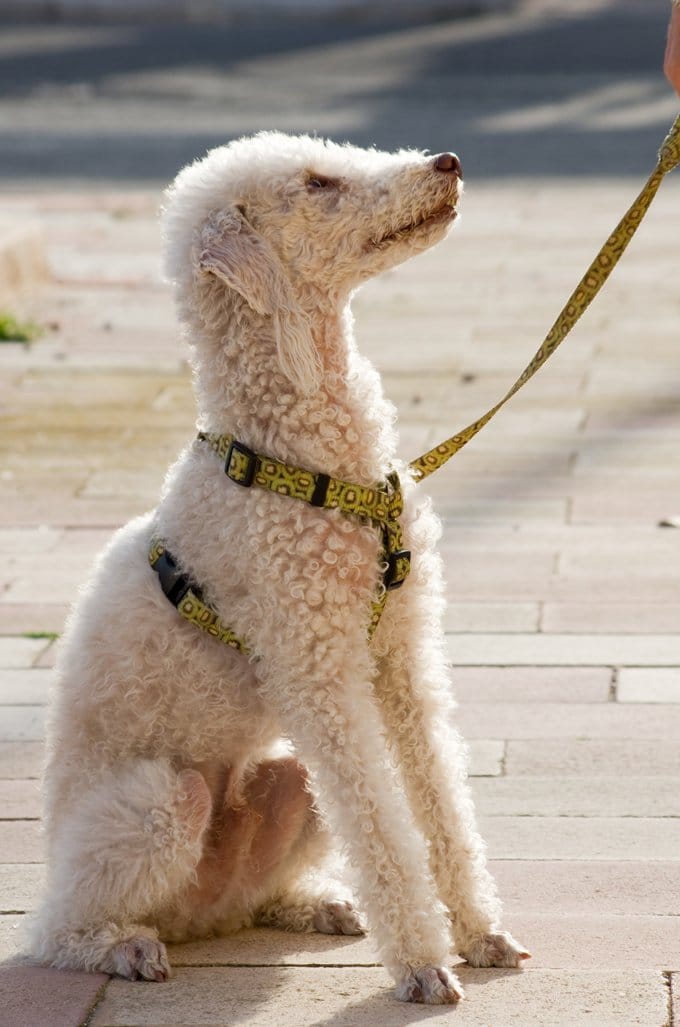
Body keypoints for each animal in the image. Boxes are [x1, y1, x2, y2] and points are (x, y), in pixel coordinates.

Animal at [30, 128, 534, 1002]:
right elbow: (379, 822)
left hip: (289, 779)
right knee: (60, 929)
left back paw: (315, 904)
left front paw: (480, 932)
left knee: (254, 891)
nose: (447, 163)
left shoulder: (401, 655)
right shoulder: (318, 672)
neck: (306, 451)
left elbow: (439, 799)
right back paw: (121, 947)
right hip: (156, 804)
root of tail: (200, 914)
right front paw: (421, 961)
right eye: (319, 182)